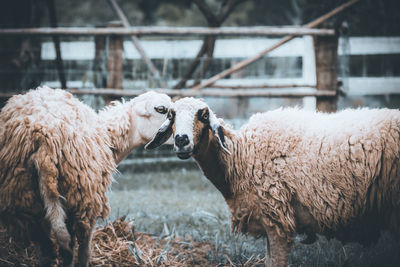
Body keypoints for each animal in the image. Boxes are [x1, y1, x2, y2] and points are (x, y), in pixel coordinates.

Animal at [0, 87, 172, 266]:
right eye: (161, 109)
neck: (108, 137)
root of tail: (42, 137)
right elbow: (81, 250)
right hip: (83, 196)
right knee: (77, 246)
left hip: (24, 199)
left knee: (49, 248)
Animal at [146, 98, 400, 267]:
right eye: (171, 115)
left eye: (204, 115)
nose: (181, 140)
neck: (241, 157)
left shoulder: (277, 216)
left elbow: (276, 261)